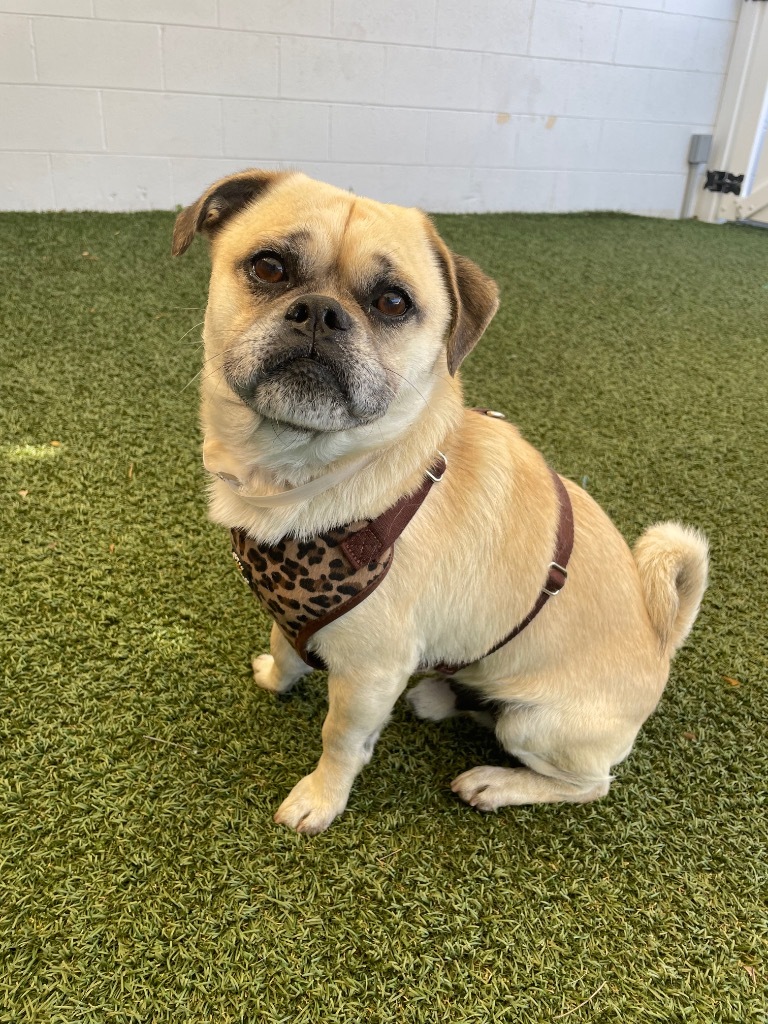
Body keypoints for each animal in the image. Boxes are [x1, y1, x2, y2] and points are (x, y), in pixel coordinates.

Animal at [173, 172, 708, 835]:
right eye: (269, 268)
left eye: (393, 303)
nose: (321, 312)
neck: (301, 474)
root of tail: (662, 641)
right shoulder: (292, 613)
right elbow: (283, 647)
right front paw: (276, 678)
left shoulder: (368, 674)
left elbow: (339, 740)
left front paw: (321, 799)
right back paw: (439, 695)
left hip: (535, 725)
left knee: (588, 784)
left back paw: (495, 782)